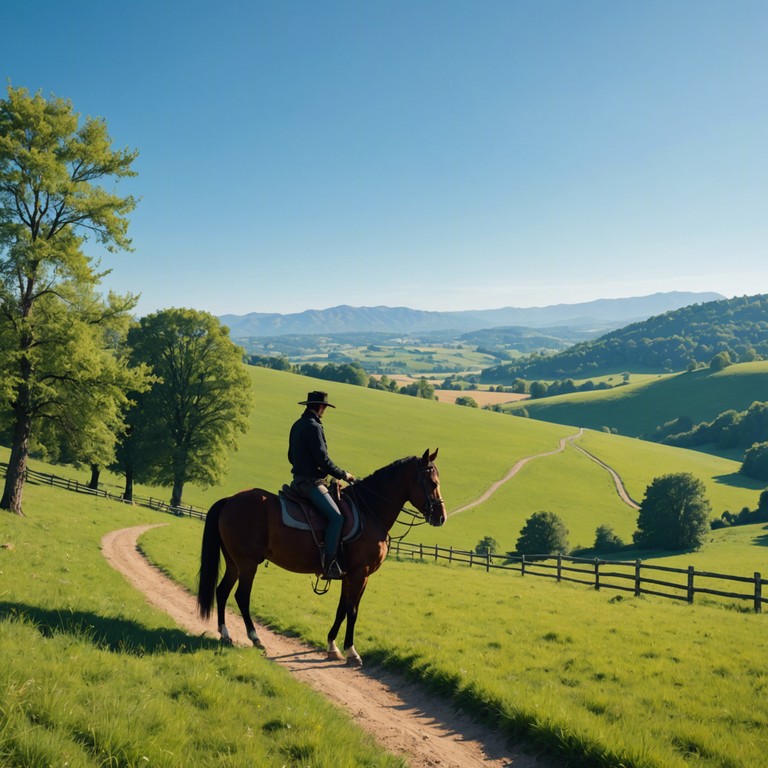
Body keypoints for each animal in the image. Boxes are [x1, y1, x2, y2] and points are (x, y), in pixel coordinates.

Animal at [196, 450, 444, 664]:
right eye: (432, 483)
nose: (441, 517)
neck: (369, 511)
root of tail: (229, 500)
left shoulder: (348, 575)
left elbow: (342, 609)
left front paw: (332, 647)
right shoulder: (360, 574)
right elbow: (352, 611)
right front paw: (351, 651)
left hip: (234, 563)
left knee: (222, 591)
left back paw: (225, 633)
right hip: (247, 564)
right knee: (241, 596)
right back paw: (255, 638)